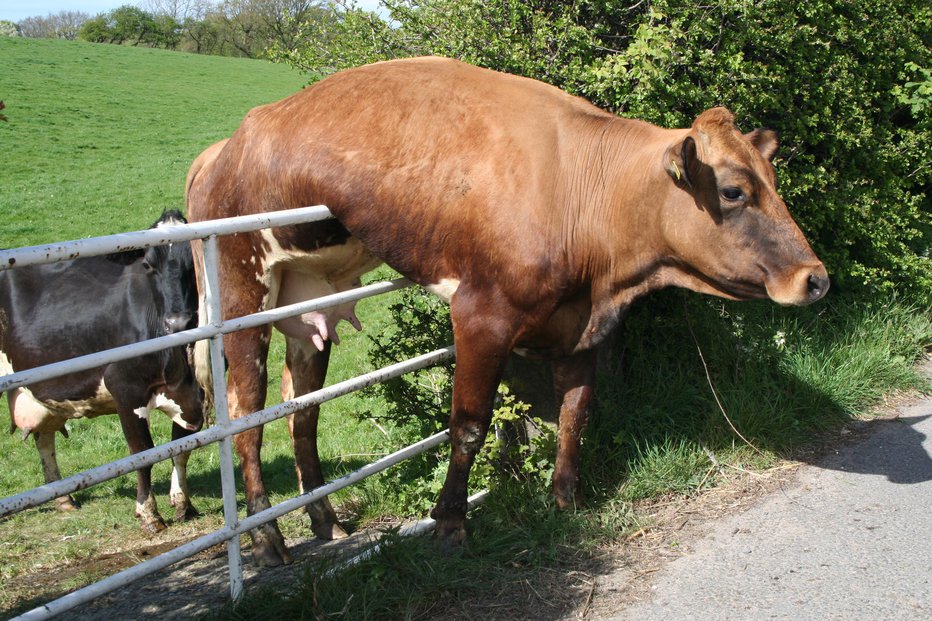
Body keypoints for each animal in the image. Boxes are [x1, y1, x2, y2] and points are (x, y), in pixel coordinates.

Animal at [0, 211, 204, 532]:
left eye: (194, 259)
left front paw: (183, 503)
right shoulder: (125, 388)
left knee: (44, 437)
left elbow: (181, 447)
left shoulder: (196, 394)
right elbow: (143, 452)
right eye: (147, 264)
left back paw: (62, 499)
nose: (178, 322)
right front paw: (149, 513)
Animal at [186, 55, 828, 564]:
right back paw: (268, 541)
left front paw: (565, 500)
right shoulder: (481, 317)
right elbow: (469, 425)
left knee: (303, 411)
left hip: (307, 303)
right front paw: (450, 523)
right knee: (245, 415)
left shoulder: (581, 329)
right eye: (734, 191)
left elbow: (574, 414)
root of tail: (223, 148)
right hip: (241, 291)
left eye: (773, 180)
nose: (815, 279)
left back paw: (326, 521)